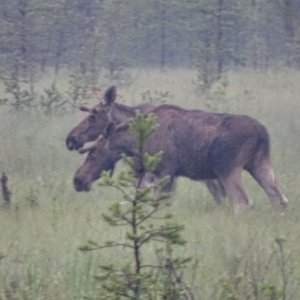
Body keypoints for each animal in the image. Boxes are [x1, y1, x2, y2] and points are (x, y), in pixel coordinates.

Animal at [66, 85, 288, 214]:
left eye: (92, 116)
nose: (70, 139)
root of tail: (262, 133)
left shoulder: (163, 171)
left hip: (228, 169)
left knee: (242, 202)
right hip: (260, 164)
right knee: (280, 199)